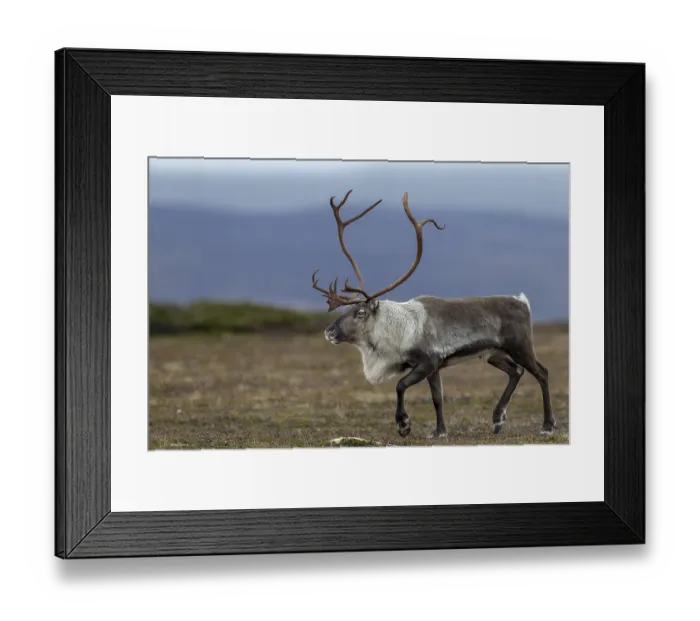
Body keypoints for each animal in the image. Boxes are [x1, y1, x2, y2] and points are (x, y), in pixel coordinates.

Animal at [312, 190, 556, 439]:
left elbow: (401, 385)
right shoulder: (433, 366)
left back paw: (547, 425)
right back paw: (498, 420)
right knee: (516, 372)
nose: (329, 331)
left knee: (542, 373)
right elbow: (437, 398)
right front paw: (440, 430)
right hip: (494, 354)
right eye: (345, 310)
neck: (396, 330)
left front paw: (404, 424)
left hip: (520, 346)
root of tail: (523, 302)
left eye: (360, 312)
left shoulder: (428, 361)